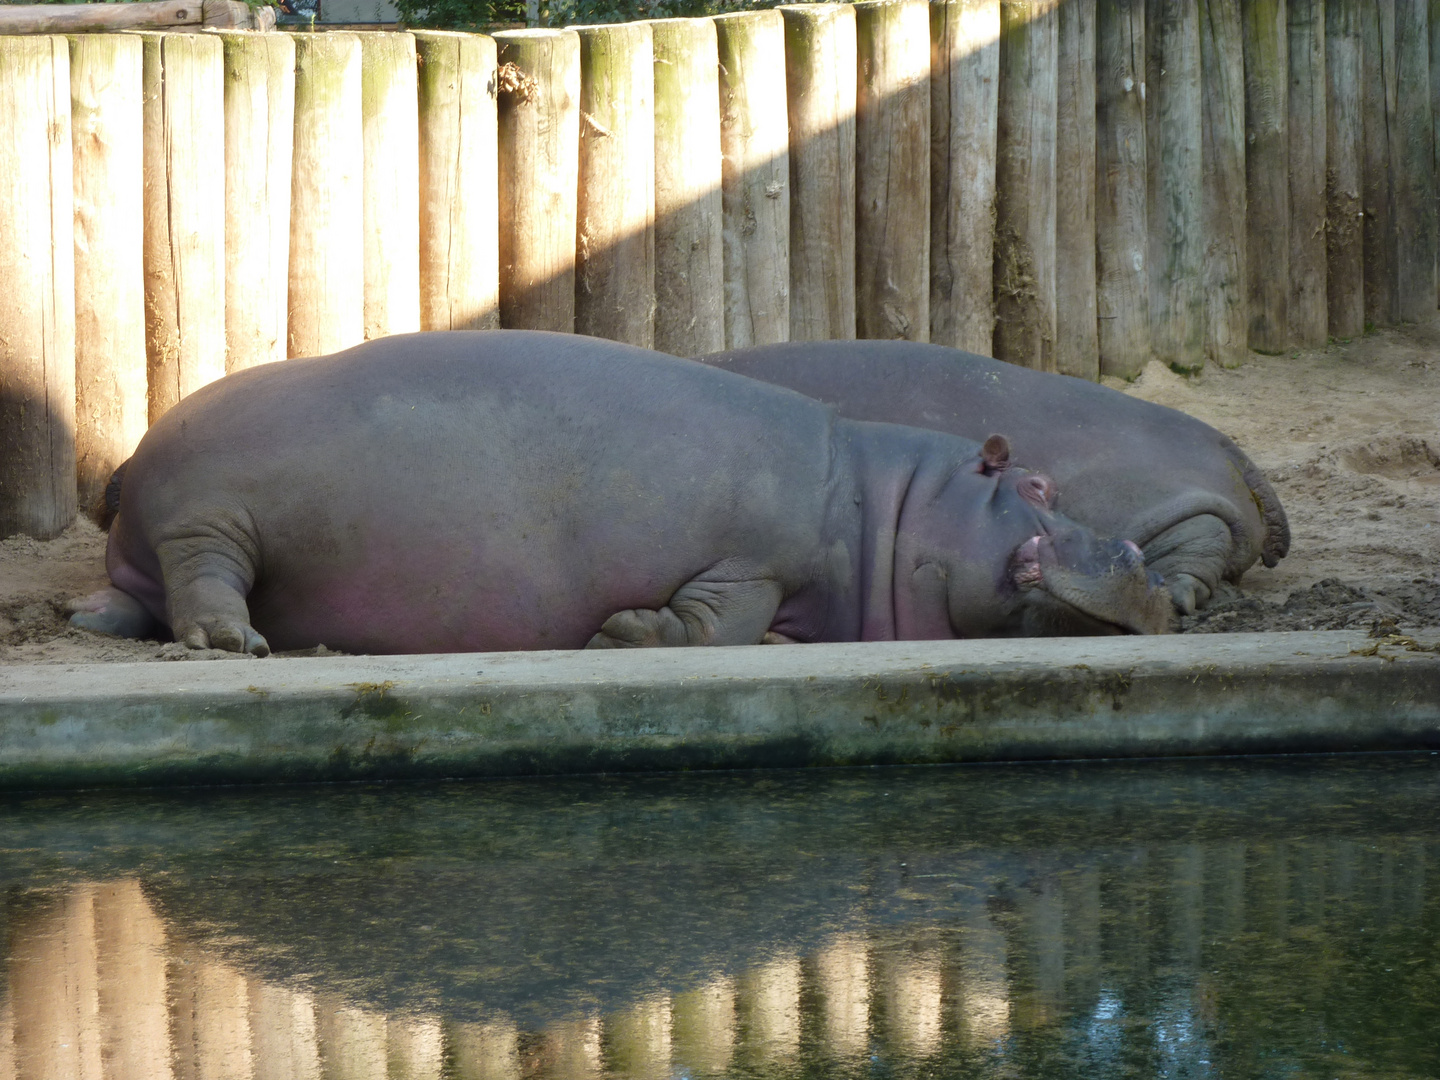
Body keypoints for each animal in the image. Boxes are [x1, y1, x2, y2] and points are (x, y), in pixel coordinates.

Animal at [70, 329, 1169, 656]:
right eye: (1037, 480)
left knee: (139, 593)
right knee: (205, 578)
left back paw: (93, 623)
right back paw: (236, 644)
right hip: (213, 514)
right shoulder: (749, 561)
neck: (888, 503)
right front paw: (624, 634)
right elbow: (718, 622)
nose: (1142, 560)